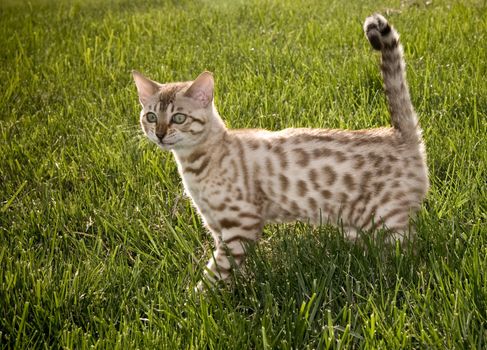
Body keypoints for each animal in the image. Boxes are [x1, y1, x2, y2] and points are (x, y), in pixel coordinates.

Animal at [132, 13, 428, 288]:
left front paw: (197, 300)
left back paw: (391, 279)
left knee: (409, 257)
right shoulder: (217, 226)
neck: (193, 165)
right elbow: (232, 268)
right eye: (151, 117)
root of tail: (399, 134)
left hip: (386, 221)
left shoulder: (240, 226)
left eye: (178, 118)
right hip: (356, 223)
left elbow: (215, 274)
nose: (160, 134)